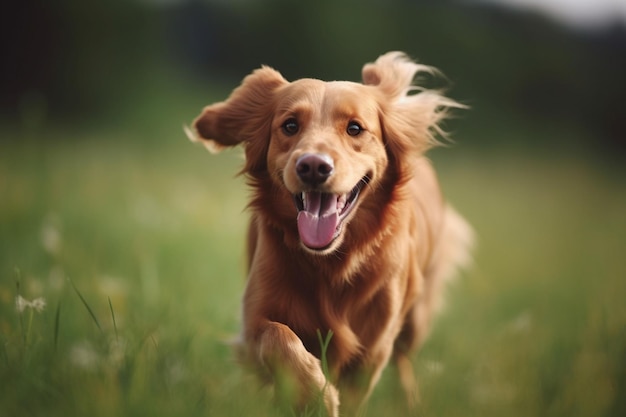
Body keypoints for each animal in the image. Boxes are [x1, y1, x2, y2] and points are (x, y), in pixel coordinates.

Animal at [188, 52, 470, 416]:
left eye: (355, 128)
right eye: (290, 125)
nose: (313, 166)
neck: (329, 264)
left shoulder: (373, 347)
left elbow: (355, 389)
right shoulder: (254, 318)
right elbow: (278, 338)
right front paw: (315, 395)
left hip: (416, 318)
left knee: (405, 359)